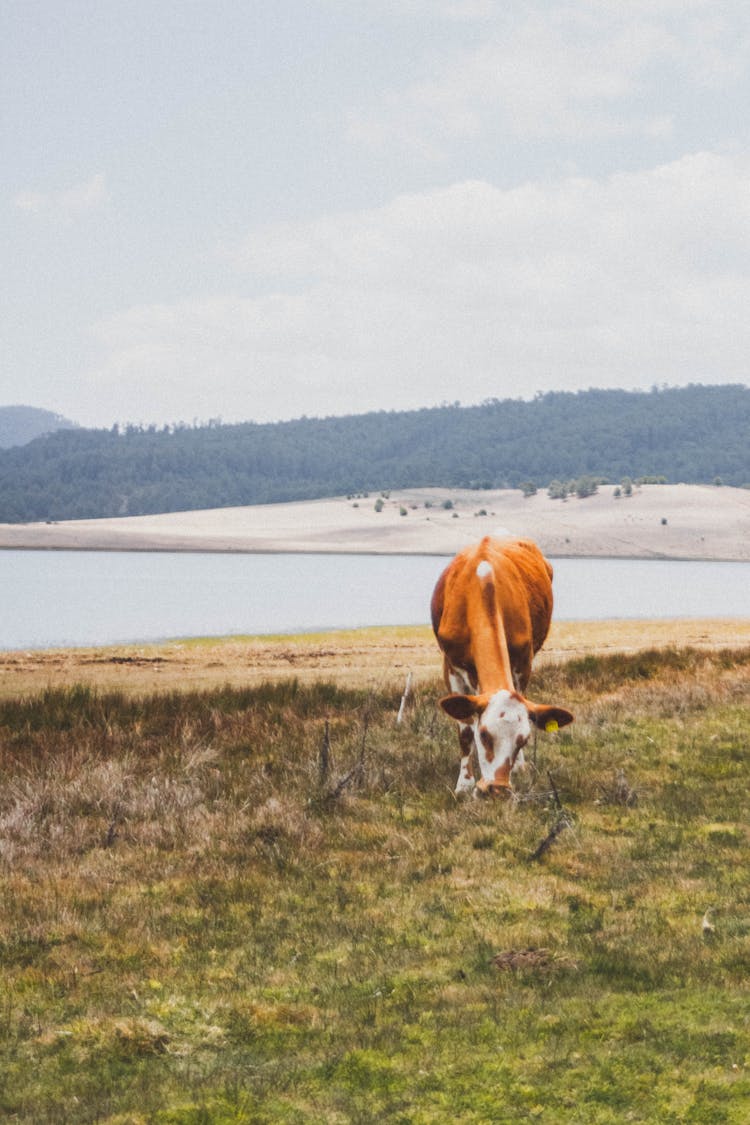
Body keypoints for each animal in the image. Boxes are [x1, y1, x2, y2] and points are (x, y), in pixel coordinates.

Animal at [427, 535, 575, 801]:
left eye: (523, 741)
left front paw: (519, 766)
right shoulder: (451, 667)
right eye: (484, 734)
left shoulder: (523, 663)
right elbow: (465, 730)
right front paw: (464, 784)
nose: (497, 790)